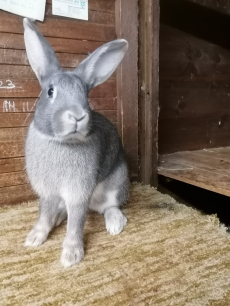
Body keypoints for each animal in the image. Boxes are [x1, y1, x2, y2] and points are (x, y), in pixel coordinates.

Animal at [23, 18, 129, 268]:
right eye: (50, 91)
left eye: (86, 96)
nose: (78, 116)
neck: (61, 142)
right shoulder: (47, 192)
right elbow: (44, 213)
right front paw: (34, 237)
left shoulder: (79, 191)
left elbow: (76, 222)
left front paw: (71, 255)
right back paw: (58, 218)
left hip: (118, 181)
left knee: (110, 206)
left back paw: (115, 223)